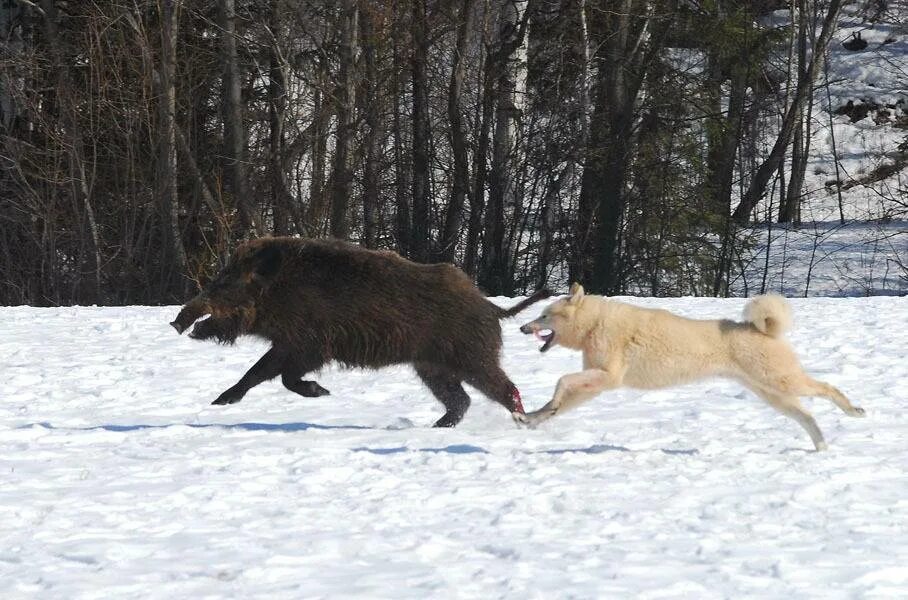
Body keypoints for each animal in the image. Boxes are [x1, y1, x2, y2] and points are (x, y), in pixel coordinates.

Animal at [516, 284, 864, 450]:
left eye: (545, 315)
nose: (522, 328)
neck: (594, 325)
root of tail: (765, 330)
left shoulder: (608, 378)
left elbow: (561, 382)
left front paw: (541, 411)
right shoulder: (596, 384)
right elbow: (554, 403)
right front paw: (531, 418)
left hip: (782, 382)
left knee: (827, 389)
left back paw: (853, 411)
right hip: (772, 393)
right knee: (808, 417)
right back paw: (821, 447)